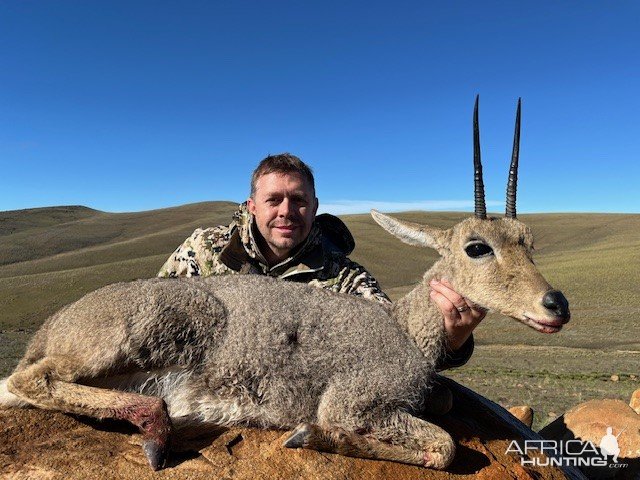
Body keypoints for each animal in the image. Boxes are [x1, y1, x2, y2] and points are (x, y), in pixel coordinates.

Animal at [0, 95, 568, 470]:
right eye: (477, 247)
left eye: (530, 241)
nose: (556, 304)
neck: (405, 332)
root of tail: (50, 328)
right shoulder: (353, 402)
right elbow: (445, 448)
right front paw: (310, 435)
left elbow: (447, 407)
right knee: (29, 380)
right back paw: (157, 428)